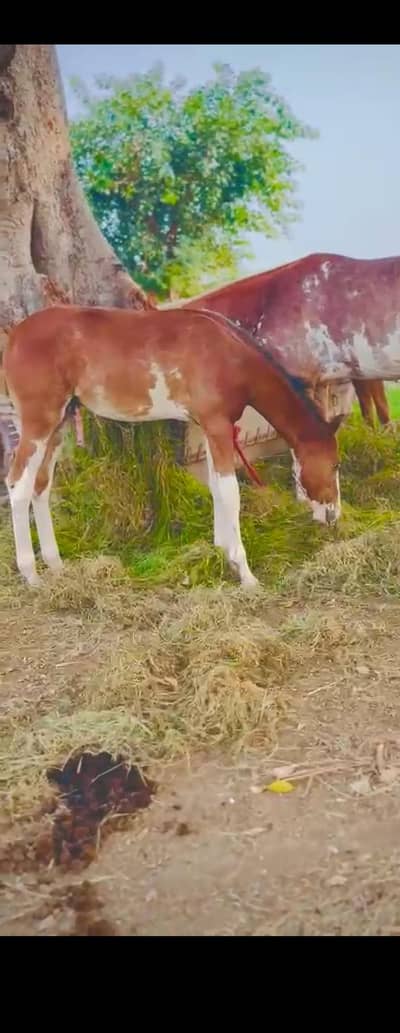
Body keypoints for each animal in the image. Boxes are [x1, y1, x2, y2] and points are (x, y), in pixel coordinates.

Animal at [3, 304, 341, 589]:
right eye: (335, 464)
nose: (334, 516)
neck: (230, 355)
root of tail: (15, 336)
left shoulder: (208, 427)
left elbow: (216, 489)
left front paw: (221, 553)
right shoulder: (218, 426)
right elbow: (230, 493)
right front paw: (246, 574)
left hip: (59, 423)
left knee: (41, 485)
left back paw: (56, 565)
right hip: (39, 422)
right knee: (18, 484)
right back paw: (31, 575)